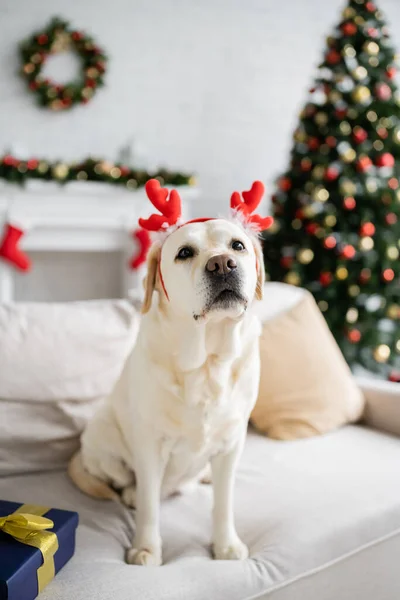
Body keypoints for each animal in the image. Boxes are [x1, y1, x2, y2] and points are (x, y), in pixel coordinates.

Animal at [69, 180, 272, 564]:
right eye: (184, 252)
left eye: (237, 245)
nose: (222, 264)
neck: (207, 360)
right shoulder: (150, 445)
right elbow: (149, 504)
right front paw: (146, 548)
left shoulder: (232, 442)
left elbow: (223, 502)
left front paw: (225, 544)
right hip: (103, 439)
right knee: (126, 483)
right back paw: (130, 494)